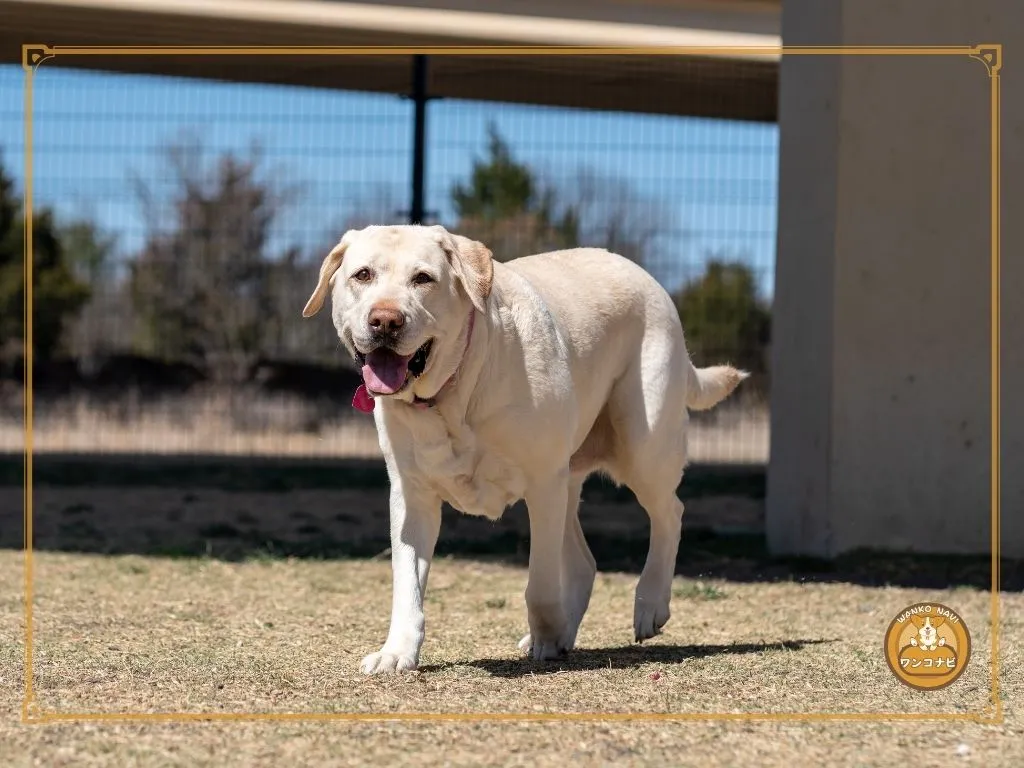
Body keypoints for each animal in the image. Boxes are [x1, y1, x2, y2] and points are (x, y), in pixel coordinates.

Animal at [301, 222, 745, 671]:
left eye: (423, 278)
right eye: (363, 275)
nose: (385, 321)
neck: (454, 393)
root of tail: (649, 279)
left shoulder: (543, 483)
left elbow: (541, 584)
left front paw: (546, 640)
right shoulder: (412, 495)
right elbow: (407, 582)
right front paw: (397, 653)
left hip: (642, 446)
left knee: (670, 512)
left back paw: (649, 605)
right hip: (573, 478)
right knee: (584, 563)